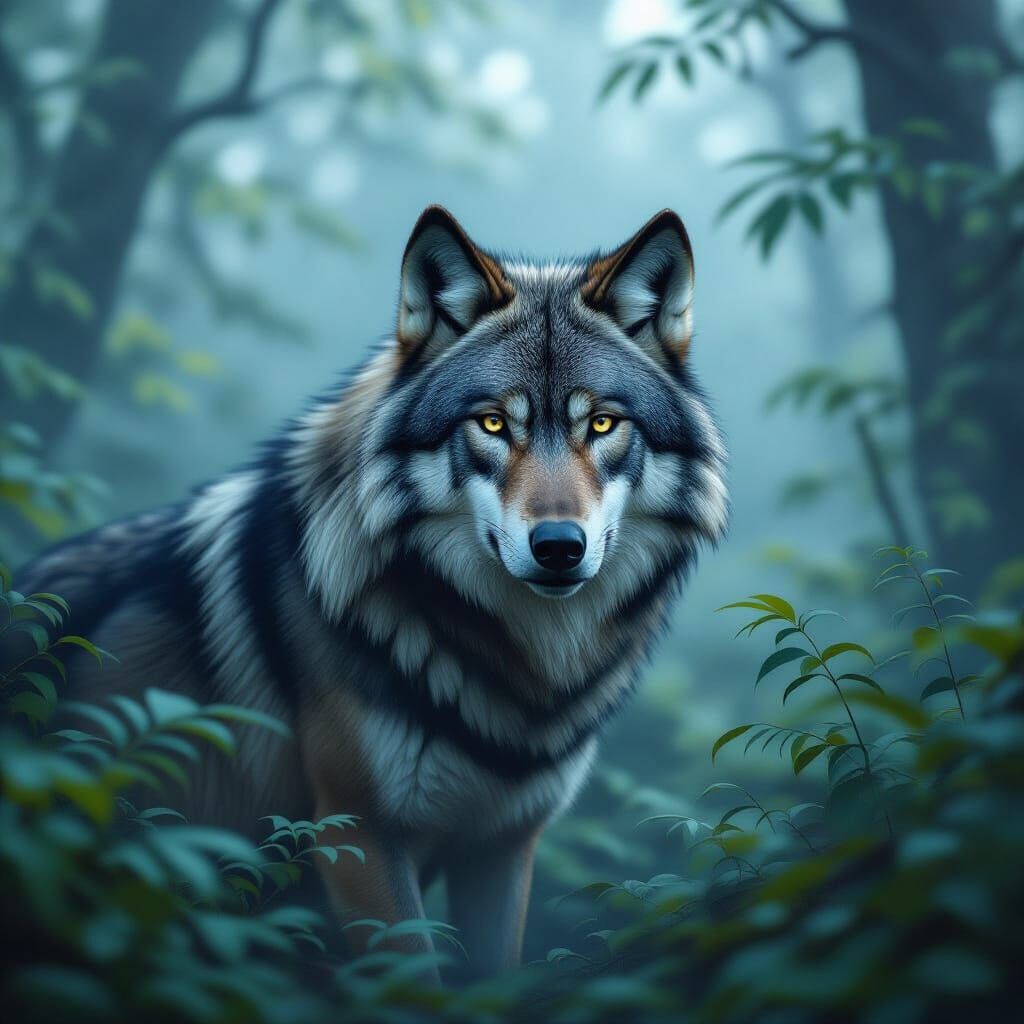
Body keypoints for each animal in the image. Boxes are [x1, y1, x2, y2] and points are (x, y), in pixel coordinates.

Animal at [16, 206, 727, 978]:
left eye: (600, 423)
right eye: (492, 423)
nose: (560, 547)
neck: (516, 663)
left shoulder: (503, 850)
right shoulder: (357, 836)